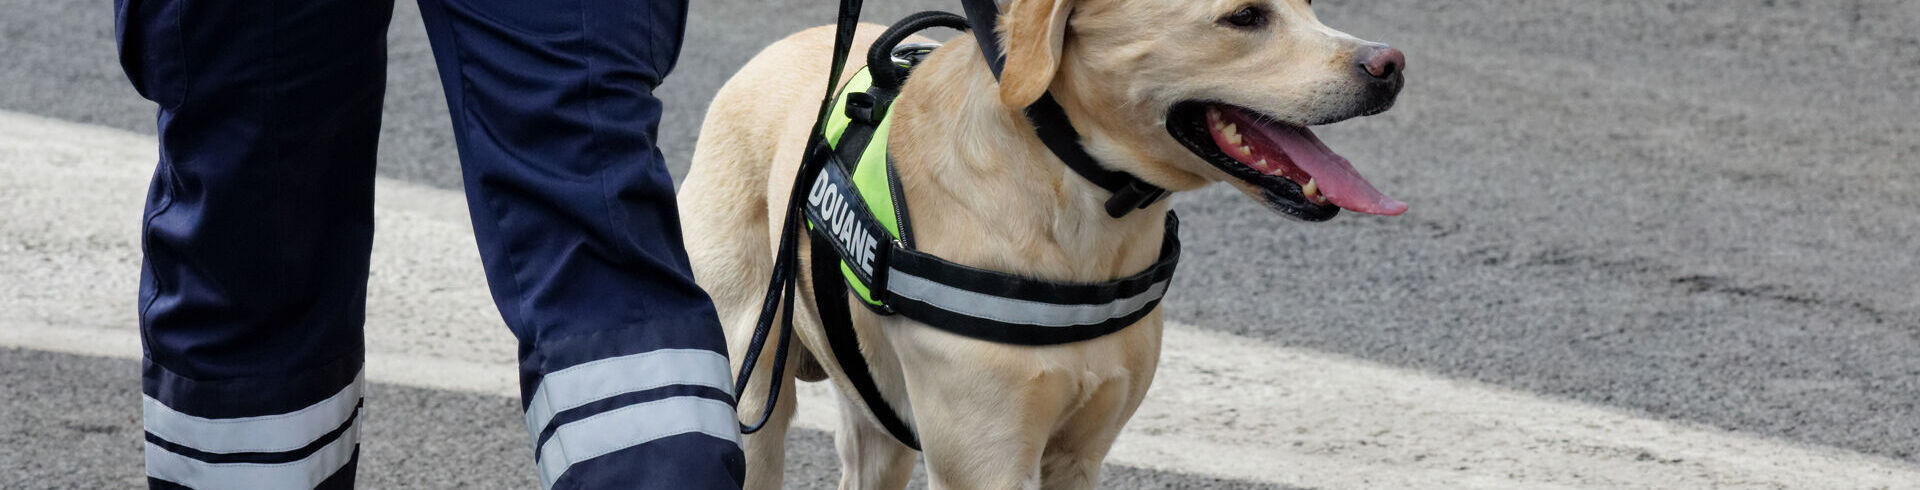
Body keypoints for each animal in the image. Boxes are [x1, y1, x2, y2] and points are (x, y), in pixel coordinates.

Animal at [683, 0, 1405, 486]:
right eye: (1245, 16)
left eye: (1308, 5)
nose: (1391, 63)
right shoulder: (987, 463)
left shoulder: (1079, 456)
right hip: (751, 395)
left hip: (874, 423)